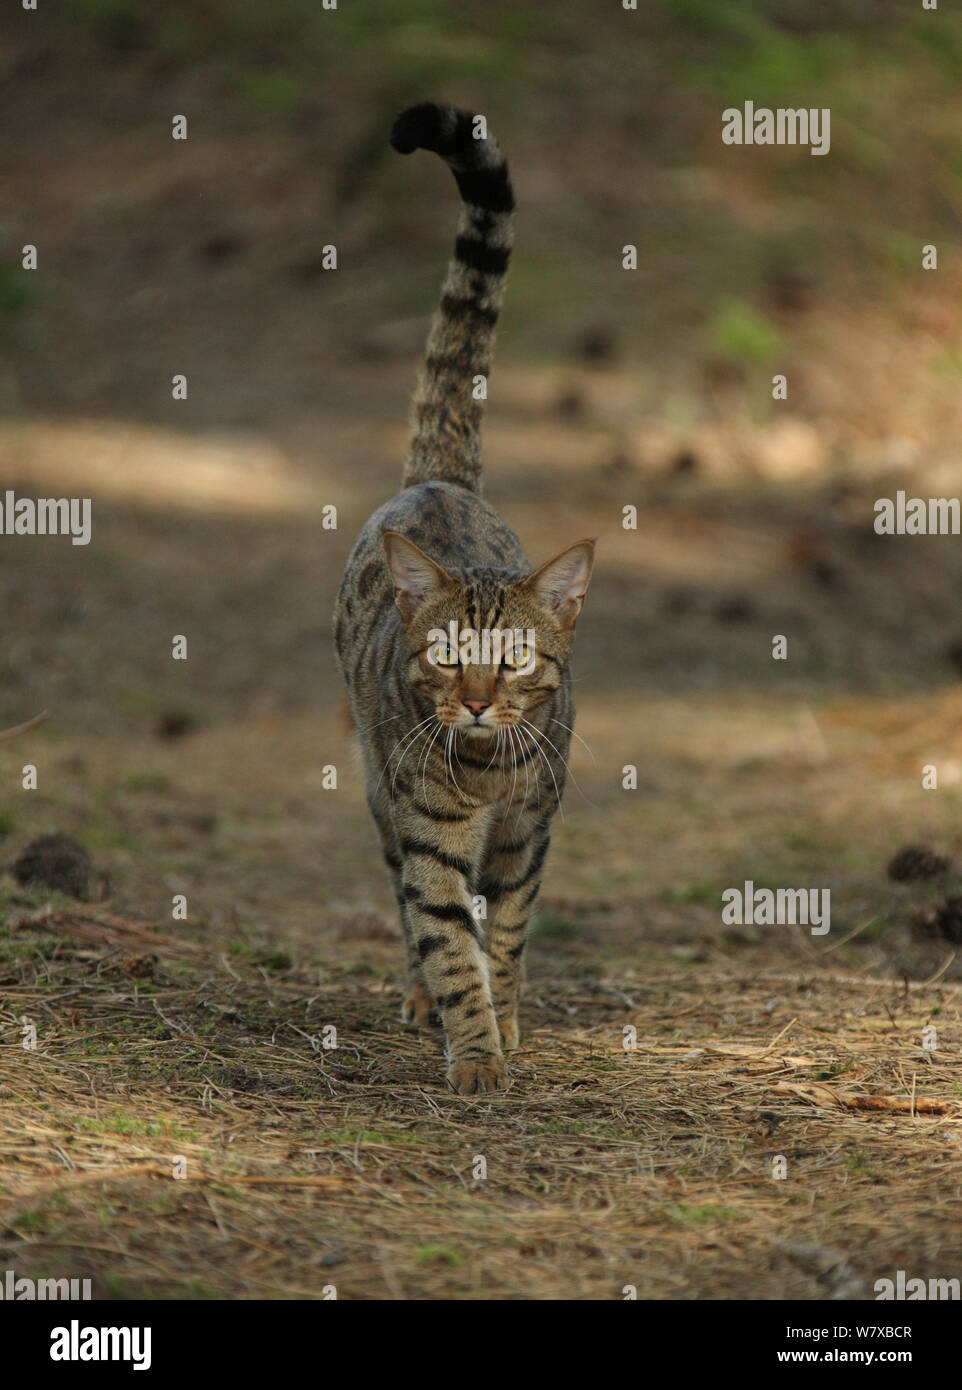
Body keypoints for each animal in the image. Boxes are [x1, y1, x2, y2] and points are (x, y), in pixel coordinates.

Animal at [336, 102, 594, 1089]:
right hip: (379, 789)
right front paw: (475, 1052)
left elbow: (509, 931)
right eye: (449, 659)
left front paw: (506, 1024)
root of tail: (439, 478)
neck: (487, 773)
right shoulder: (426, 828)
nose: (479, 702)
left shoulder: (529, 831)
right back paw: (421, 1002)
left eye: (514, 660)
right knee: (407, 903)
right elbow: (446, 935)